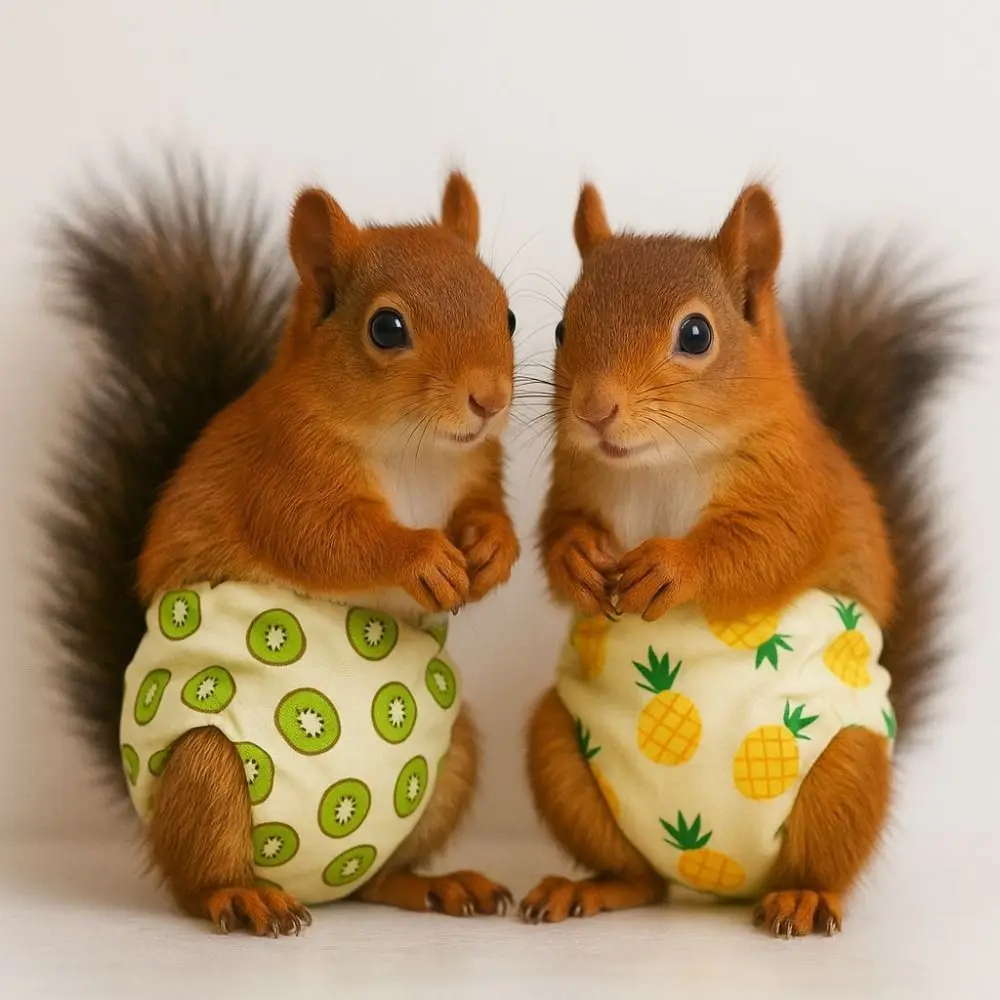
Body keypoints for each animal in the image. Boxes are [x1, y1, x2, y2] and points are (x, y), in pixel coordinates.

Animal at [42, 162, 520, 935]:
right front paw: (423, 558)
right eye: (386, 327)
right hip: (207, 768)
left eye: (506, 314)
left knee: (374, 879)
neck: (412, 450)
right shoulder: (281, 473)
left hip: (454, 758)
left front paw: (491, 551)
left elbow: (486, 512)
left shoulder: (476, 470)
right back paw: (239, 897)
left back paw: (434, 885)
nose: (490, 400)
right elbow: (327, 540)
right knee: (196, 879)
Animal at [521, 182, 959, 936]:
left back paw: (806, 897)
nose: (594, 410)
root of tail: (721, 879)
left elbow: (761, 549)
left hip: (845, 769)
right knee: (640, 878)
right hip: (560, 753)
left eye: (696, 335)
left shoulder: (799, 489)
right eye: (560, 328)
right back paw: (597, 889)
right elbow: (555, 535)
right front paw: (577, 559)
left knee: (819, 862)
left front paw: (672, 567)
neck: (663, 462)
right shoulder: (575, 483)